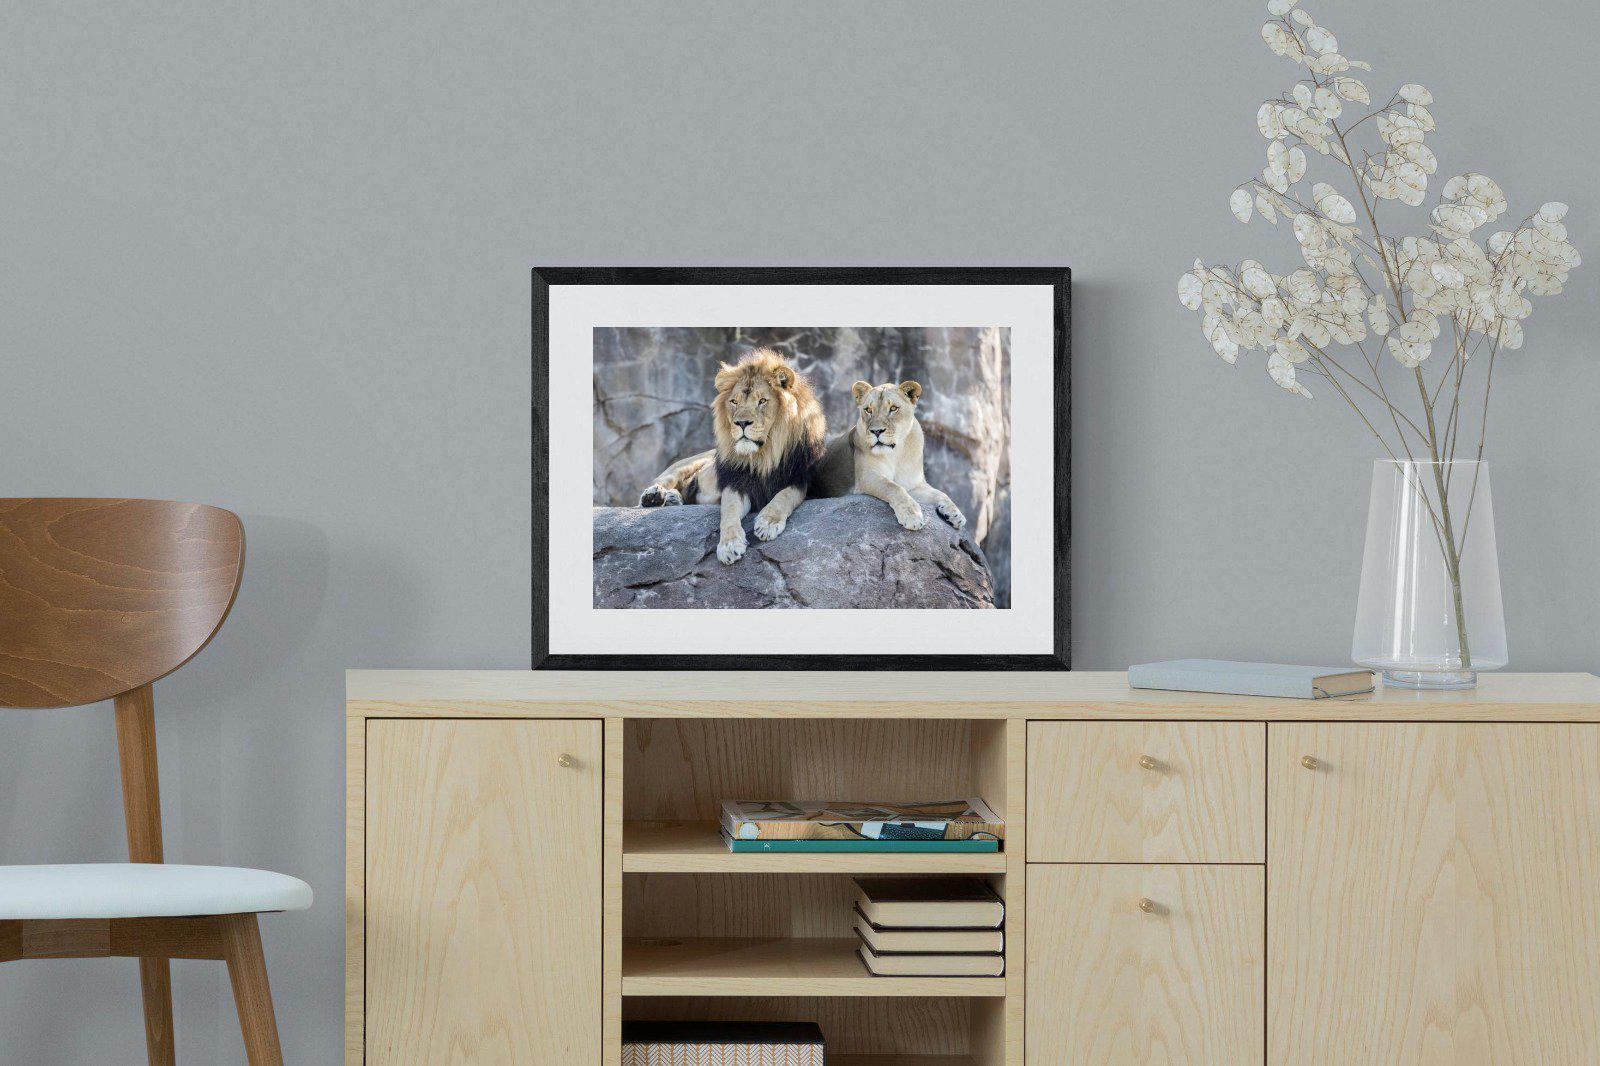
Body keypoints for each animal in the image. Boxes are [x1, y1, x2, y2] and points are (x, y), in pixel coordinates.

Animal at [637, 348, 827, 564]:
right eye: (734, 402)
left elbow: (784, 496)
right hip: (686, 464)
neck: (763, 456)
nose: (742, 423)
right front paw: (729, 545)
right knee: (662, 481)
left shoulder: (800, 479)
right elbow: (729, 511)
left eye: (762, 401)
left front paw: (768, 523)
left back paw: (672, 498)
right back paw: (654, 496)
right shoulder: (736, 482)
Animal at [809, 380, 966, 532]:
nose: (876, 431)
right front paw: (912, 516)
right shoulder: (867, 477)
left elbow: (941, 494)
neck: (896, 454)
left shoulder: (914, 485)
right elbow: (893, 487)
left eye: (893, 408)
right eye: (868, 410)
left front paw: (956, 515)